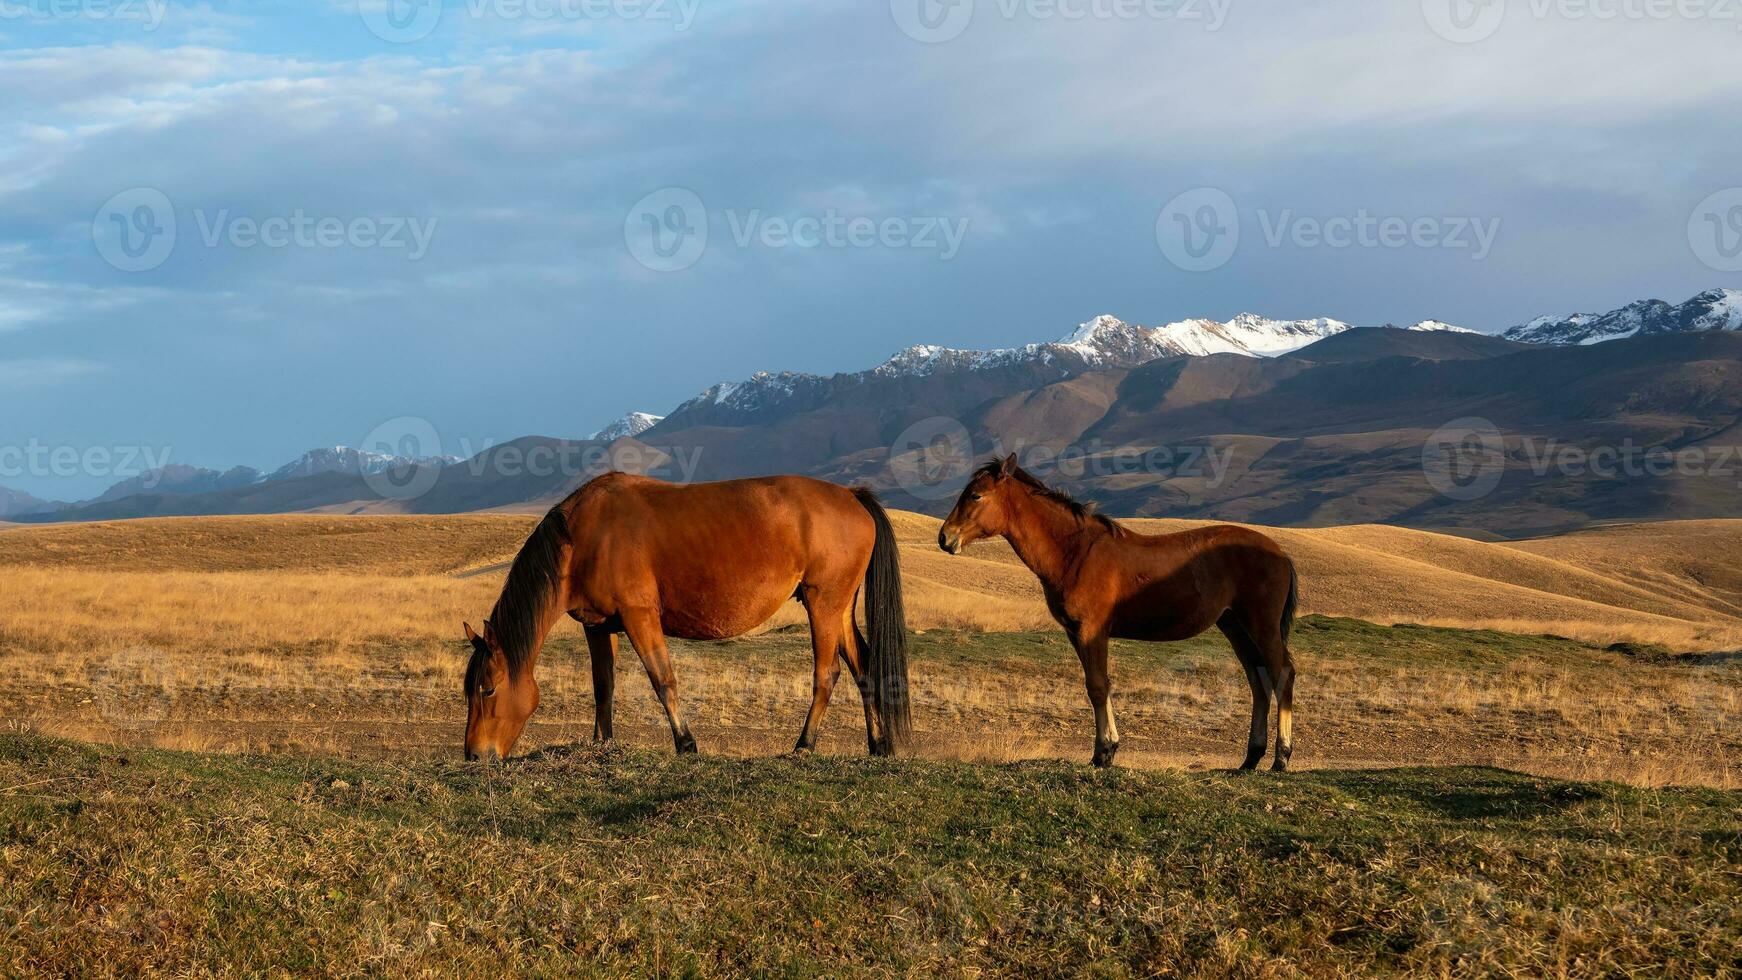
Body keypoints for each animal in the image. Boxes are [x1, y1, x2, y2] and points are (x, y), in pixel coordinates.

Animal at [470, 469, 919, 762]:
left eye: (487, 690)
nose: (474, 755)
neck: (582, 538)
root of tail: (852, 495)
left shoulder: (640, 618)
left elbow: (662, 680)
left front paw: (686, 743)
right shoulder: (598, 627)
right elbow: (603, 686)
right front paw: (602, 743)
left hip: (822, 605)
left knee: (827, 675)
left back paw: (803, 745)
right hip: (838, 609)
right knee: (865, 668)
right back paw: (878, 745)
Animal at [940, 459, 1296, 776]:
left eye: (976, 496)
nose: (945, 538)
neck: (1075, 552)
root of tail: (1279, 553)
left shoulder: (1091, 631)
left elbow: (1098, 686)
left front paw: (1103, 753)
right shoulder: (1076, 634)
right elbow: (1099, 685)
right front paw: (1107, 749)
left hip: (1261, 626)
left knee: (1282, 675)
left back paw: (1281, 758)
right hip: (1235, 627)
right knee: (1258, 682)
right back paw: (1251, 759)